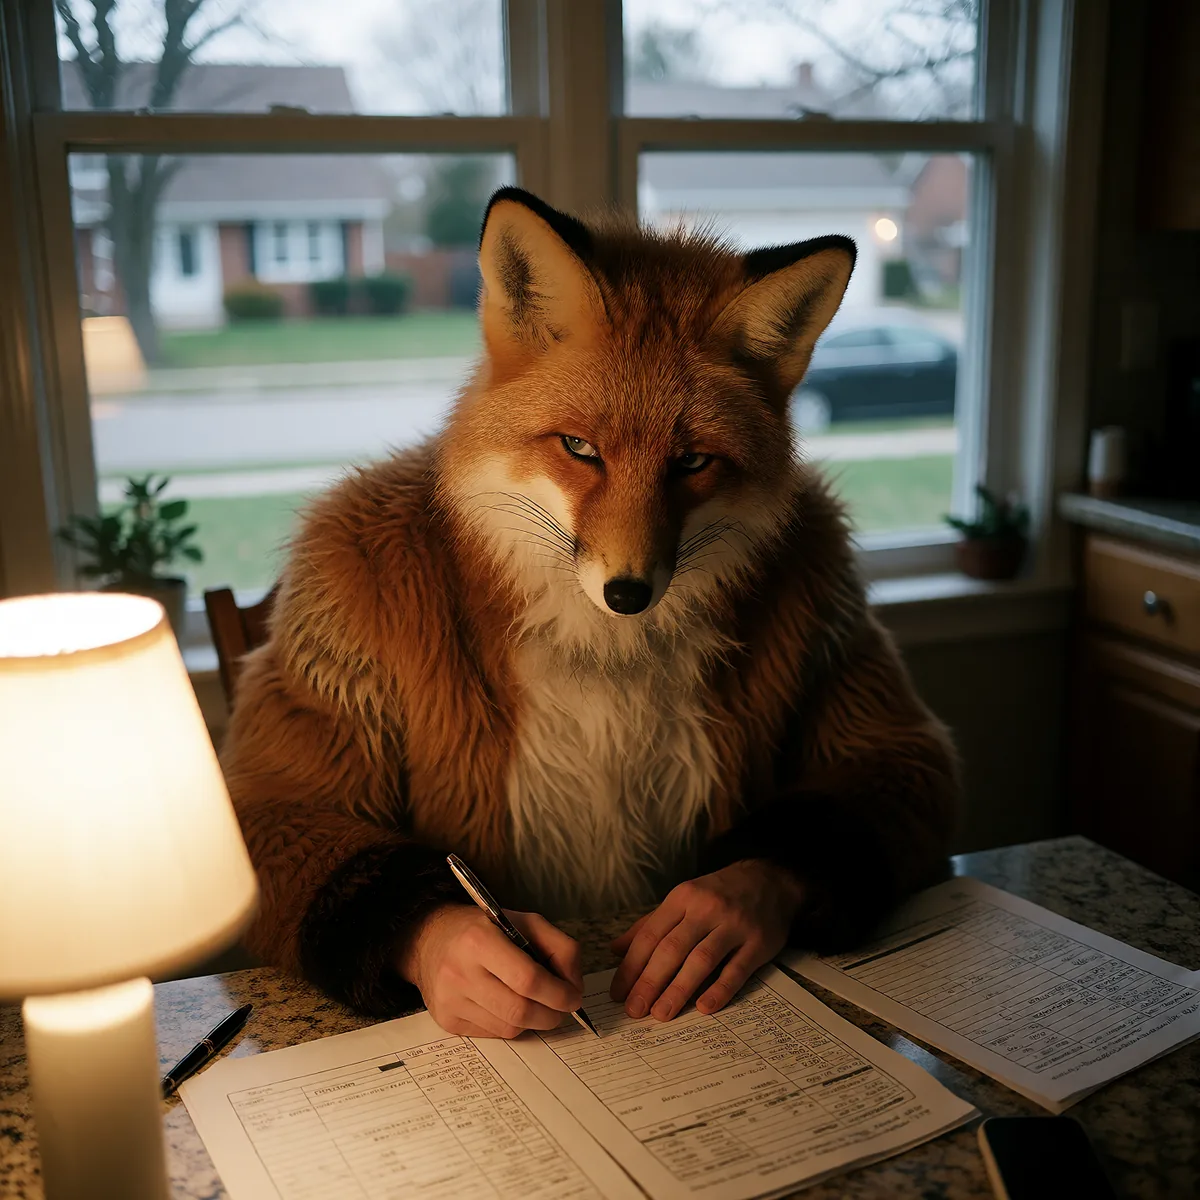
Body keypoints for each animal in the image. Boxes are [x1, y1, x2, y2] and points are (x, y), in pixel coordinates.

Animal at [221, 187, 959, 1031]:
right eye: (580, 448)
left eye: (692, 462)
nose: (629, 593)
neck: (605, 652)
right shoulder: (339, 599)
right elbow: (284, 807)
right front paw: (468, 952)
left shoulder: (838, 612)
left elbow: (881, 766)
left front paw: (723, 906)